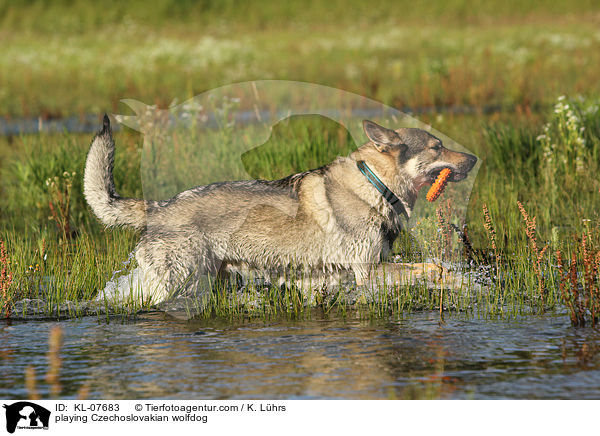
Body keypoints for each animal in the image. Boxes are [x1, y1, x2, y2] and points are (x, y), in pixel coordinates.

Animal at [85, 116, 478, 304]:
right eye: (437, 146)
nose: (474, 158)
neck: (374, 186)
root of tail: (157, 207)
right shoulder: (367, 271)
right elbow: (435, 268)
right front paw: (466, 283)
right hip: (178, 284)